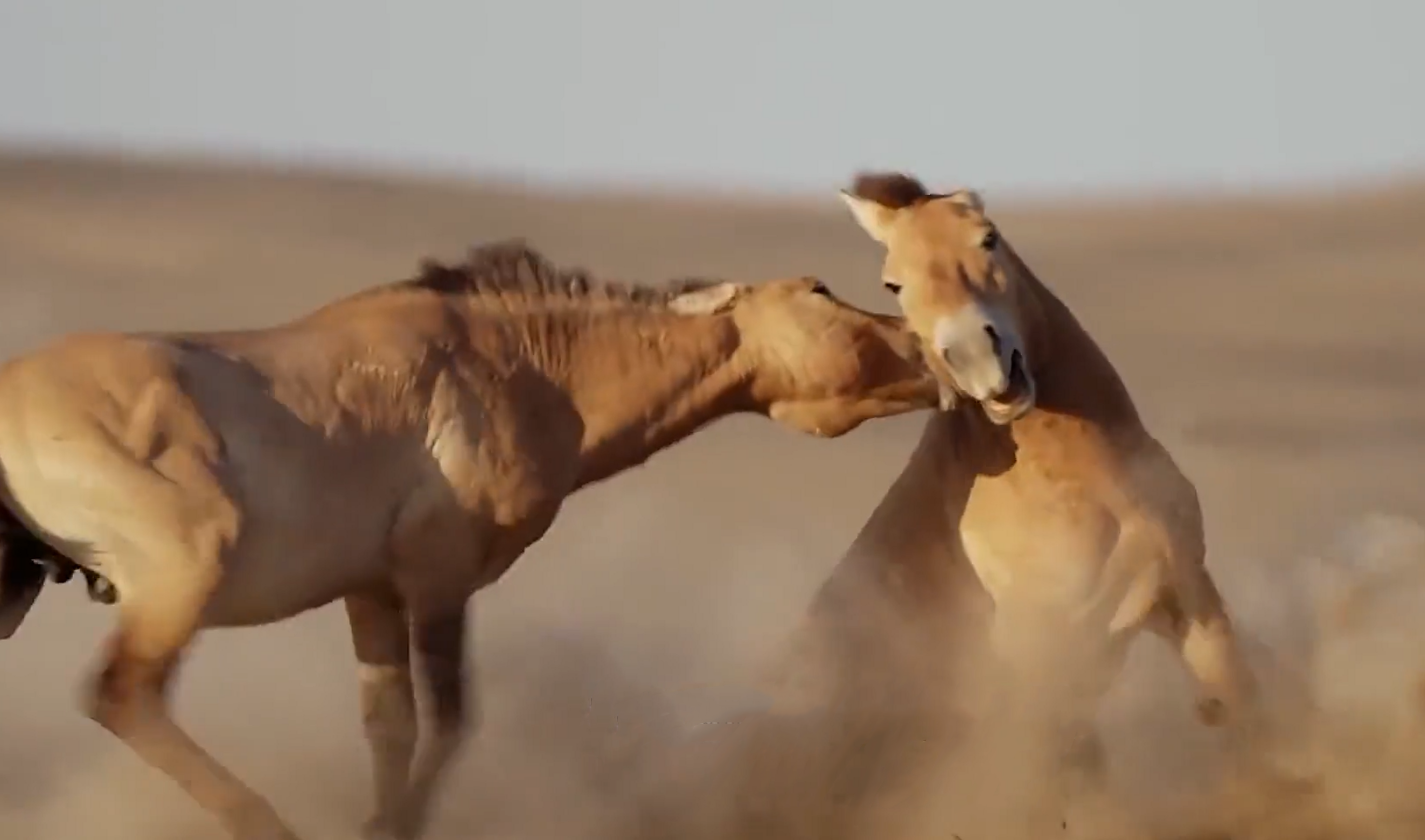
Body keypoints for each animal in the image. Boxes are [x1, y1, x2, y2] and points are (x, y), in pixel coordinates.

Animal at [0, 238, 951, 838]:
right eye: (817, 288)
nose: (935, 350)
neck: (516, 357)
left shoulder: (372, 592)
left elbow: (389, 727)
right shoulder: (439, 579)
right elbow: (452, 722)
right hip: (184, 573)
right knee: (121, 693)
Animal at [780, 173, 1259, 810]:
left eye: (989, 238)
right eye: (892, 282)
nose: (978, 361)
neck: (1082, 478)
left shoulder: (1185, 589)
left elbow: (1245, 708)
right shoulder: (1043, 656)